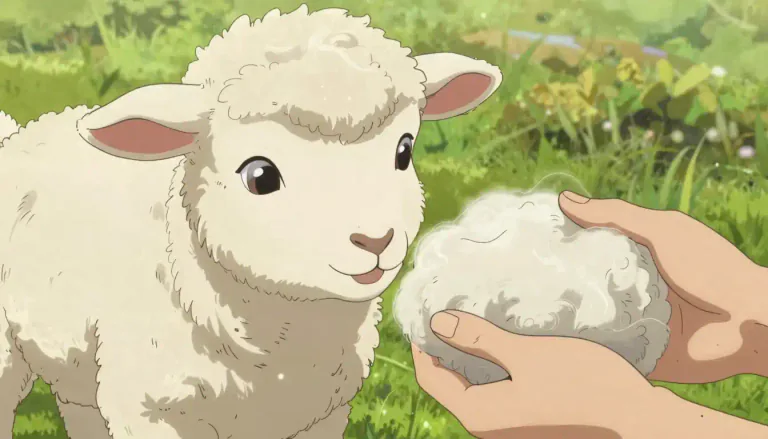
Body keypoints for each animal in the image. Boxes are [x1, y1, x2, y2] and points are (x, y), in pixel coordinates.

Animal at [0, 5, 502, 439]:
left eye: (404, 150)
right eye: (260, 176)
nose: (376, 240)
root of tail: (18, 134)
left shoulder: (321, 411)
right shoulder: (150, 409)